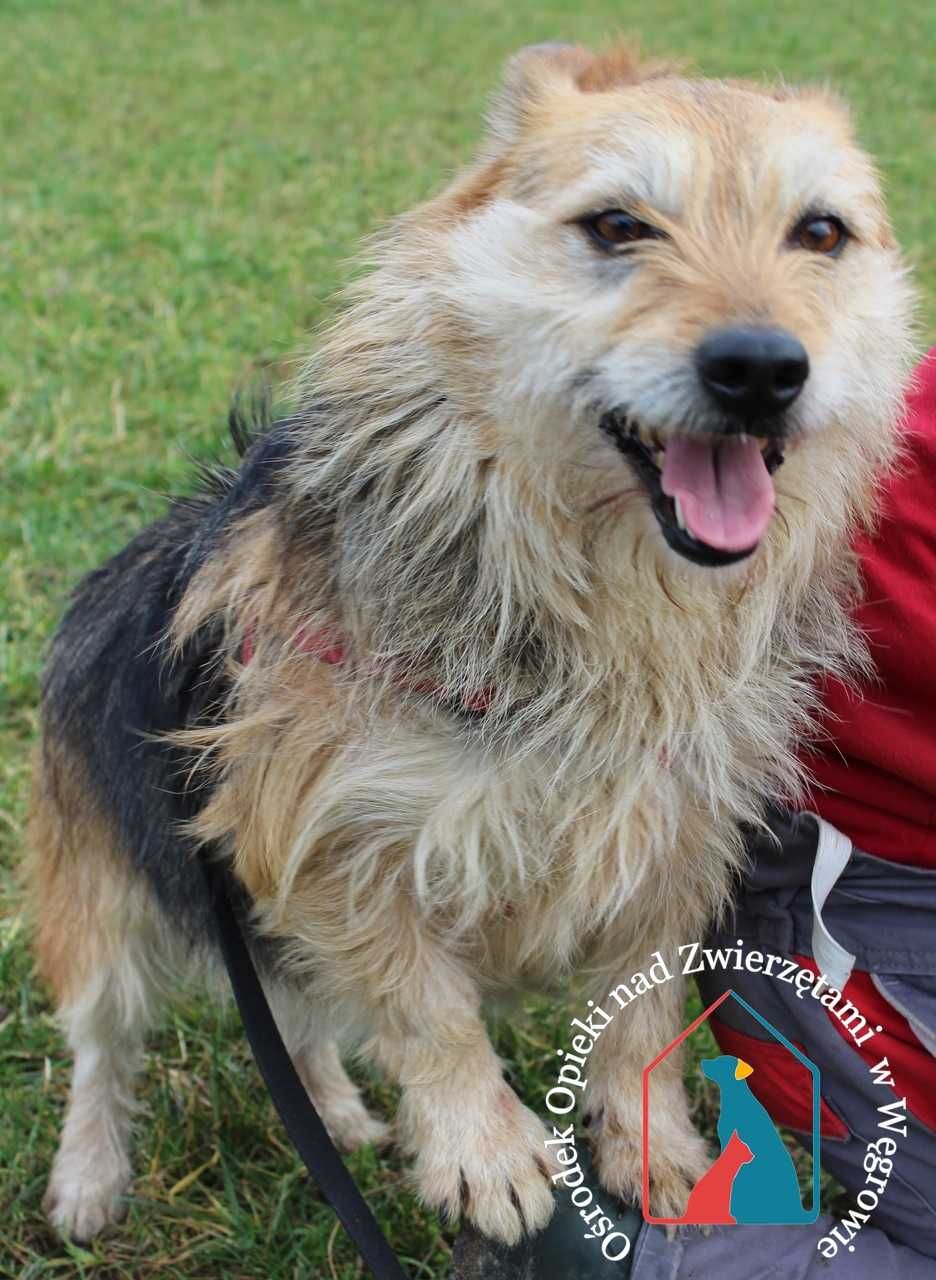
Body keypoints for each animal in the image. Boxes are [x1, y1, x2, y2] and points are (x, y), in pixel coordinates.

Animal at [31, 42, 916, 1249]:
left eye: (821, 233)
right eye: (618, 225)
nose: (762, 367)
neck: (610, 613)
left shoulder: (675, 841)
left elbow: (643, 1015)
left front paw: (665, 1158)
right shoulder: (325, 832)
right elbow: (427, 1006)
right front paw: (484, 1148)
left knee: (293, 1018)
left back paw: (334, 1113)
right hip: (104, 890)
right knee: (101, 1041)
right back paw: (88, 1173)